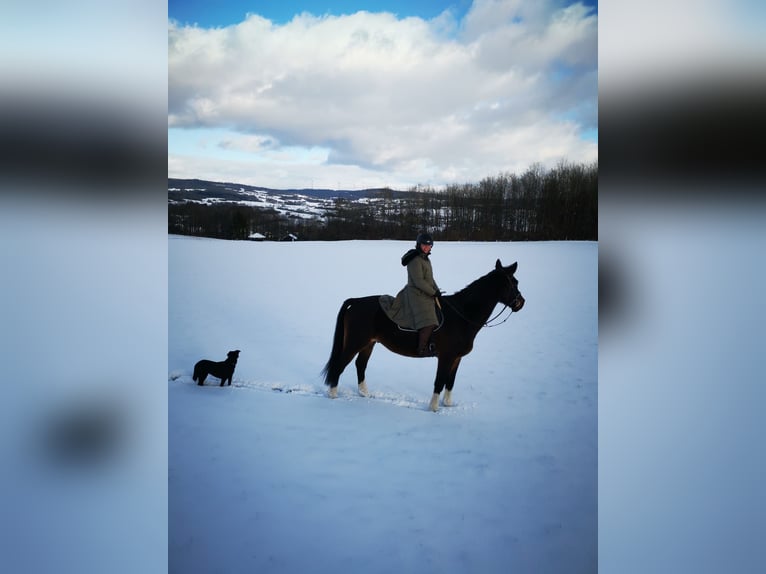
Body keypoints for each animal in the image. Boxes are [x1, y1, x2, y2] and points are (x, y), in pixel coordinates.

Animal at [322, 259, 525, 411]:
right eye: (512, 283)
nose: (521, 303)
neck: (462, 314)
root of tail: (355, 302)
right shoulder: (446, 357)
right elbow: (439, 381)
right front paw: (433, 408)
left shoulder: (457, 358)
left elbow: (450, 381)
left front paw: (448, 404)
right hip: (355, 343)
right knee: (340, 365)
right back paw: (333, 395)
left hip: (368, 343)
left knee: (360, 365)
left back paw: (365, 393)